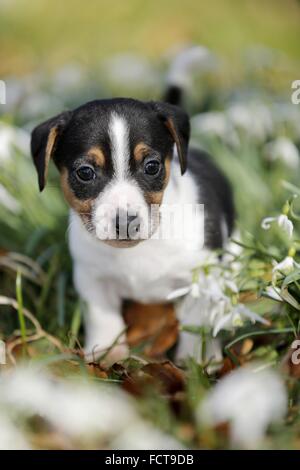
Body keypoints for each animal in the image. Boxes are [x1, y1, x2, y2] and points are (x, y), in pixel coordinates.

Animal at [29, 89, 234, 364]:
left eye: (152, 166)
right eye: (85, 172)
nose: (125, 222)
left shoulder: (202, 275)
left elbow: (196, 319)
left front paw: (197, 360)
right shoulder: (92, 279)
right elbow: (103, 318)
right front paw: (107, 354)